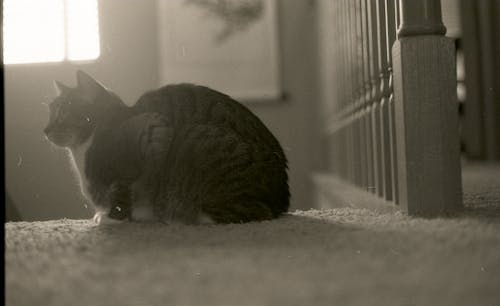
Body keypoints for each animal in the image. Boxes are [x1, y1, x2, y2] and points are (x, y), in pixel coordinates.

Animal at [45, 71, 292, 225]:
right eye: (50, 112)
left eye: (63, 113)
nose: (45, 130)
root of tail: (282, 200)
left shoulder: (154, 130)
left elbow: (122, 191)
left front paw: (112, 217)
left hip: (198, 139)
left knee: (250, 213)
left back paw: (177, 217)